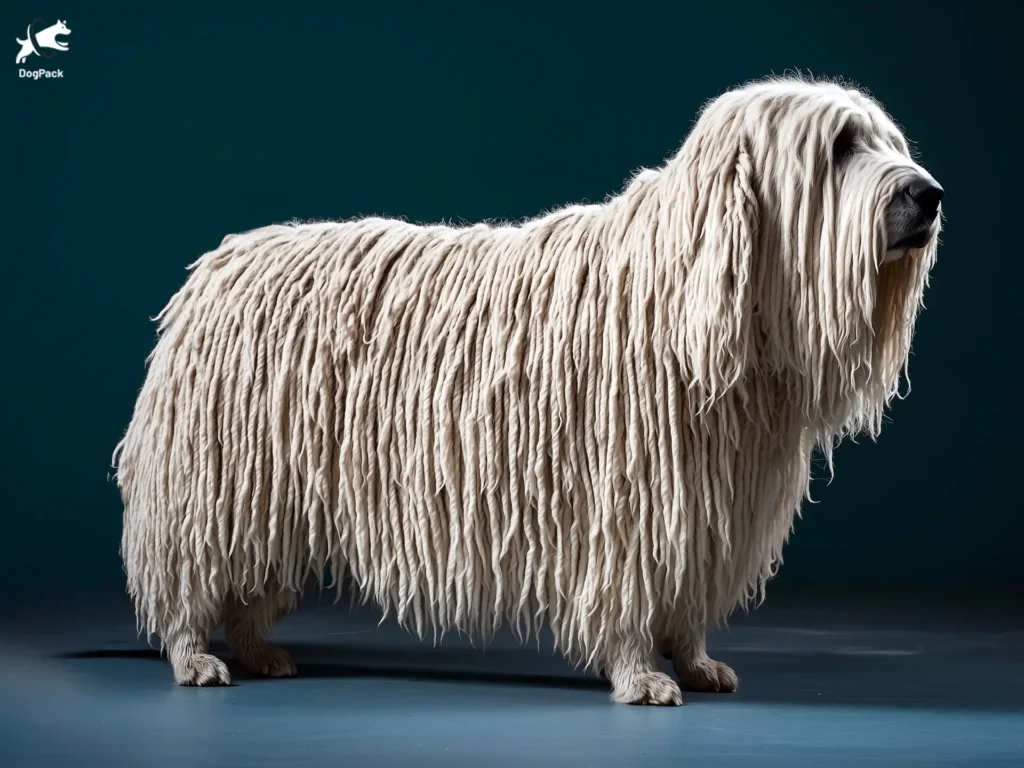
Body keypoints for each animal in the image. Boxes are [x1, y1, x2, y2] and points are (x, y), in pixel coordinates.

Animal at [112, 75, 942, 708]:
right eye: (841, 146)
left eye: (888, 141)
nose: (929, 194)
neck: (692, 291)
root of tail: (213, 268)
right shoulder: (626, 497)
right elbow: (626, 593)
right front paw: (641, 674)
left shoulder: (709, 502)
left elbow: (685, 595)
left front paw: (695, 659)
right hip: (212, 480)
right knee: (186, 575)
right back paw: (195, 656)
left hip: (273, 493)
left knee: (250, 587)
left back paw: (259, 652)